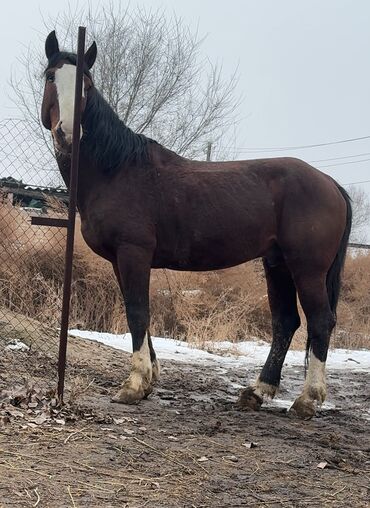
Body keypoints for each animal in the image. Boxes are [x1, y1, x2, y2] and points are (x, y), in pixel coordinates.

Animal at [41, 32, 352, 420]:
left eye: (86, 85)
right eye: (50, 77)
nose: (67, 133)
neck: (117, 170)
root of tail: (330, 183)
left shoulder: (133, 253)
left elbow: (138, 311)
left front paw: (134, 385)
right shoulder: (120, 260)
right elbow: (137, 310)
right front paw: (149, 379)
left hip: (306, 268)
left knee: (320, 320)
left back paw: (307, 399)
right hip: (277, 264)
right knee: (285, 323)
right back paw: (256, 392)